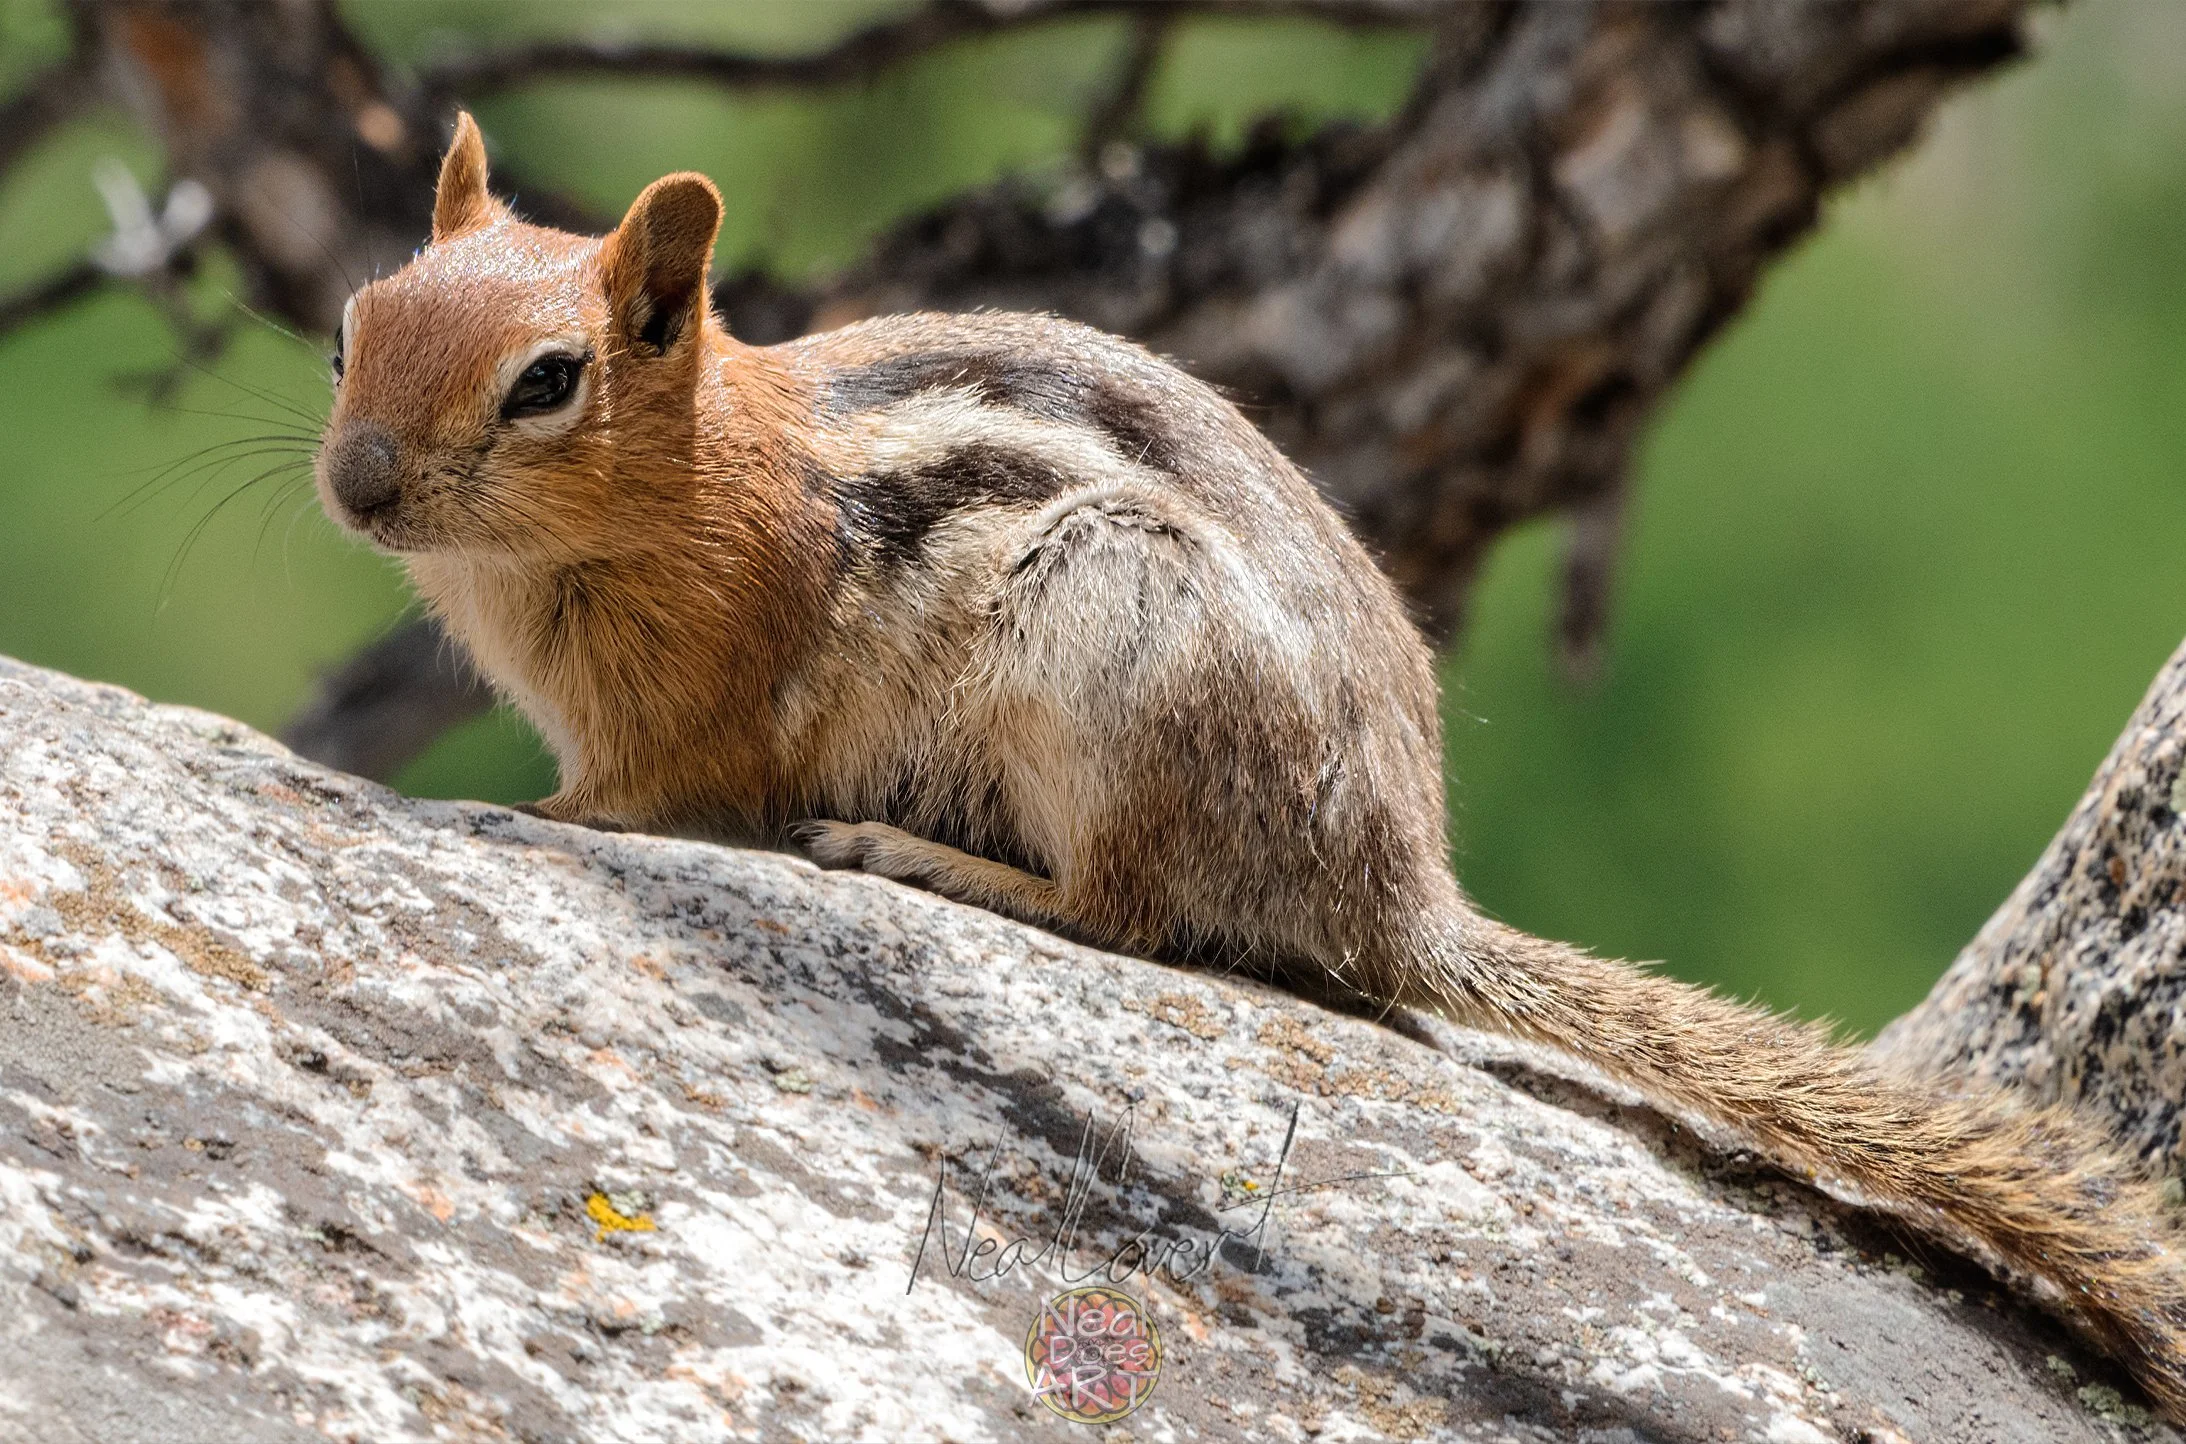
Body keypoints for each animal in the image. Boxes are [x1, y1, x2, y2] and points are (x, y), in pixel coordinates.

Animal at [317, 113, 2186, 1413]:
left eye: (549, 381)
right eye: (351, 324)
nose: (356, 482)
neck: (693, 476)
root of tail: (1394, 887)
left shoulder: (696, 701)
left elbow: (633, 797)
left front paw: (497, 809)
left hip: (1109, 649)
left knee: (1127, 911)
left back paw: (928, 858)